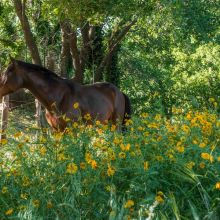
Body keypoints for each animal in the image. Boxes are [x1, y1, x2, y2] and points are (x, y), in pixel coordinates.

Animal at [0, 58, 131, 131]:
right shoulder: (57, 130)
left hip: (116, 123)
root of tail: (119, 92)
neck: (58, 97)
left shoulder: (71, 129)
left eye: (8, 72)